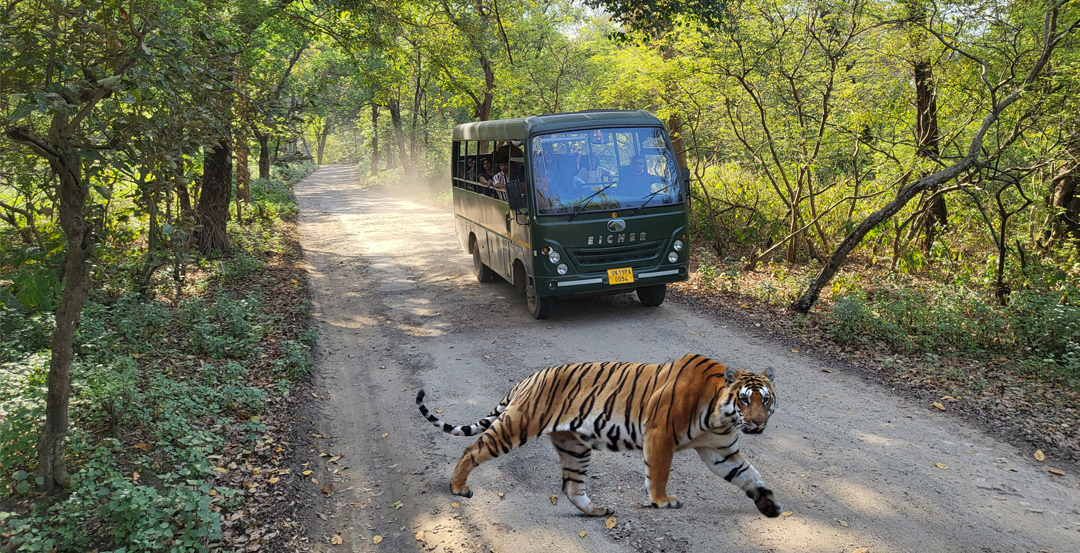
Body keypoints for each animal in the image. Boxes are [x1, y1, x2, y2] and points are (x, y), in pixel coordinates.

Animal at [416, 354, 781, 518]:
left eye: (765, 400)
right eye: (745, 400)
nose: (757, 423)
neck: (720, 417)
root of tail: (528, 378)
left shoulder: (721, 451)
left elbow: (748, 475)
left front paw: (769, 503)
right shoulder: (660, 435)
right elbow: (659, 473)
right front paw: (662, 501)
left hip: (574, 447)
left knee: (571, 487)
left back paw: (598, 511)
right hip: (516, 426)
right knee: (471, 449)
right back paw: (458, 487)